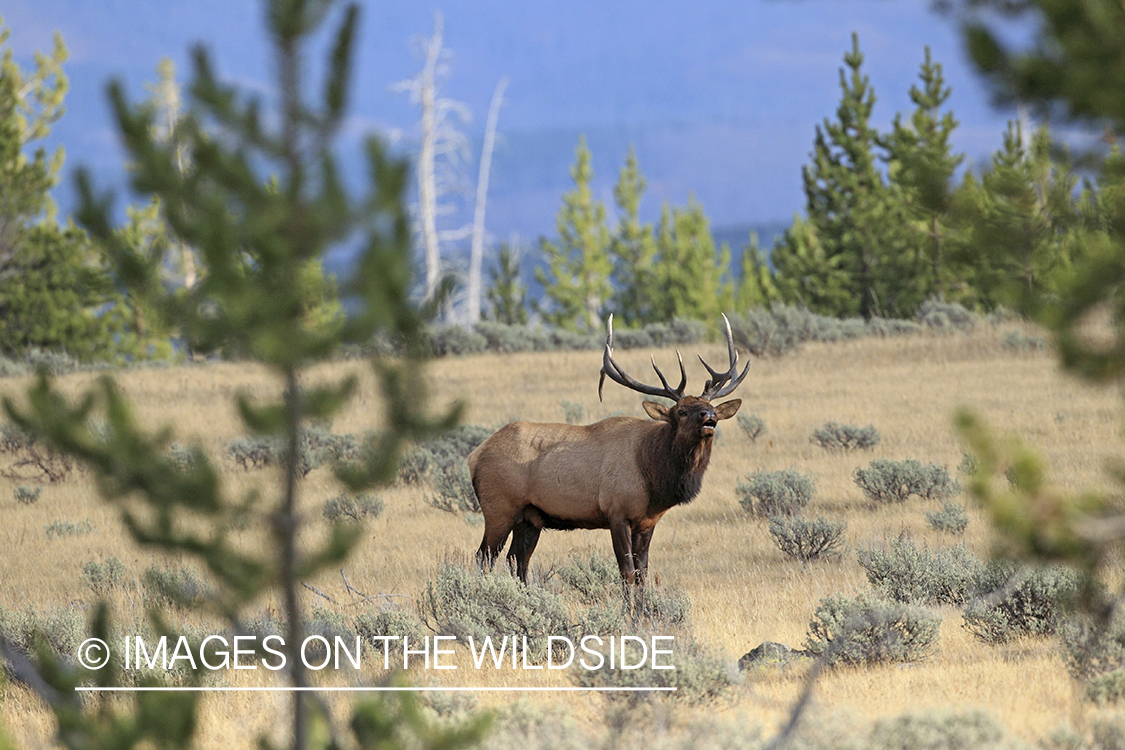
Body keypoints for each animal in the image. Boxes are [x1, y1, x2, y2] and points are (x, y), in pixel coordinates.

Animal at [470, 314, 751, 584]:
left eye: (710, 407)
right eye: (680, 411)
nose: (709, 417)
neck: (654, 477)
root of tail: (474, 456)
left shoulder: (647, 522)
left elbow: (642, 573)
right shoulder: (617, 512)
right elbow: (626, 572)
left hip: (530, 517)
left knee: (517, 561)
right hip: (499, 508)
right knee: (484, 557)